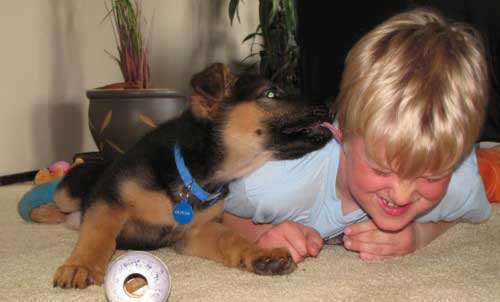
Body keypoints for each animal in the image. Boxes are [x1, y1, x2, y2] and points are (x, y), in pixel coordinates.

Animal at [43, 63, 332, 288]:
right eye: (271, 94)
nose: (328, 105)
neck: (194, 173)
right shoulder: (108, 199)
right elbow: (99, 235)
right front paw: (82, 265)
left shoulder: (194, 232)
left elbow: (230, 237)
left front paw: (261, 254)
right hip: (70, 192)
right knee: (59, 203)